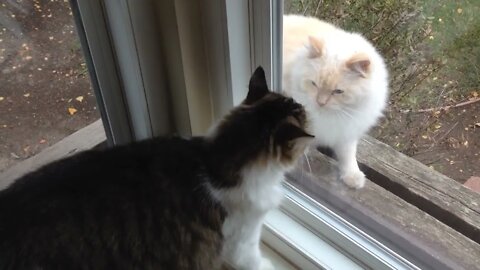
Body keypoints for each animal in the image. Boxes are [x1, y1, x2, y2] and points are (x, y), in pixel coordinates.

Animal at [284, 14, 388, 188]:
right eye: (314, 84)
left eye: (338, 91)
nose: (320, 102)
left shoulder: (346, 130)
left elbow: (348, 155)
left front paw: (353, 177)